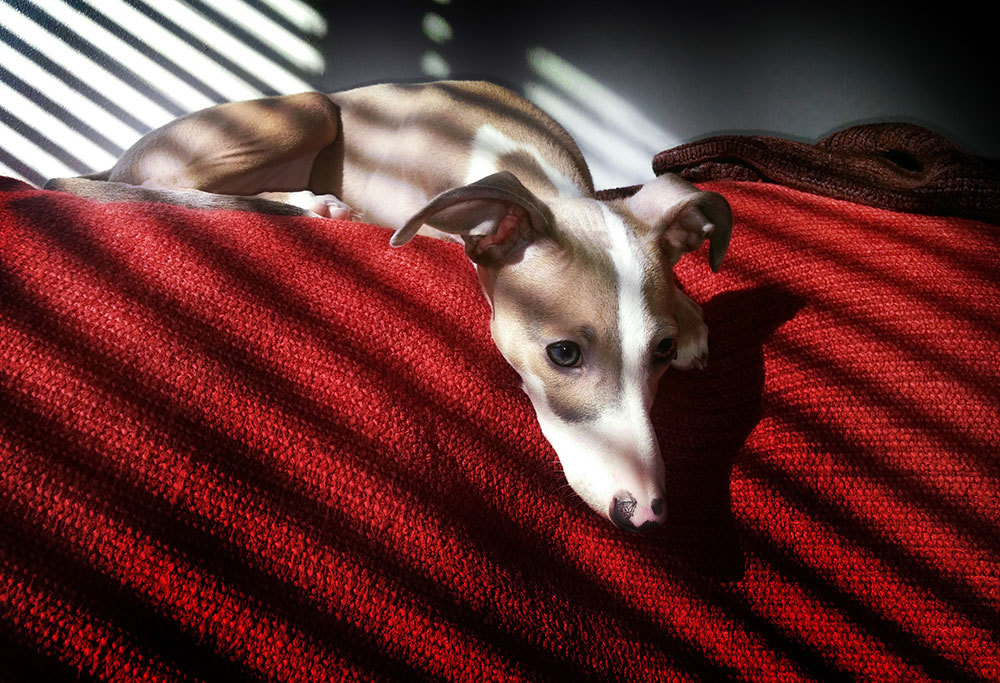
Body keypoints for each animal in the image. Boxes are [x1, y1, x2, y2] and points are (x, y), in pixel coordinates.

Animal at [47, 80, 732, 536]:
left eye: (660, 351)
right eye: (563, 353)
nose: (645, 515)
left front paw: (692, 316)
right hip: (309, 109)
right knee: (174, 188)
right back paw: (310, 203)